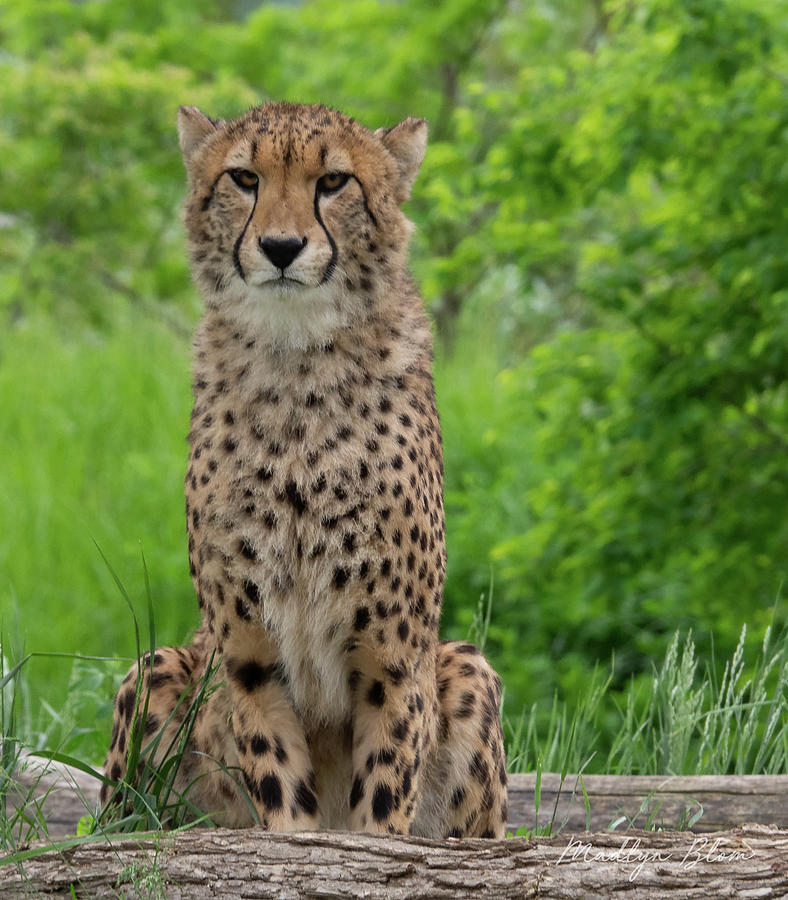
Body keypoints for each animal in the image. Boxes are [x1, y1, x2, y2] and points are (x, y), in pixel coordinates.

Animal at [101, 102, 508, 840]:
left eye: (334, 182)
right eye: (243, 177)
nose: (282, 247)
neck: (295, 364)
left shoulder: (394, 659)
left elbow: (384, 797)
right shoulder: (248, 655)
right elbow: (282, 792)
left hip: (464, 666)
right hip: (161, 669)